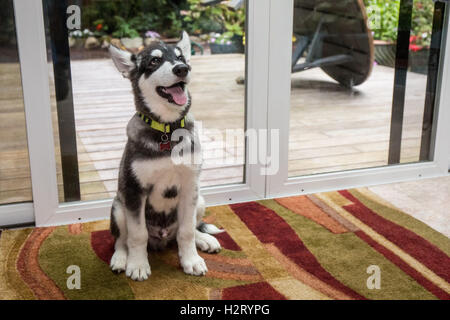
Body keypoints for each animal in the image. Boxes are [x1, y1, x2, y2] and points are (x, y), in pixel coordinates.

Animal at [107, 31, 223, 282]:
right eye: (154, 61)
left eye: (181, 57)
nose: (182, 69)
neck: (167, 130)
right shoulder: (134, 190)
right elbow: (137, 235)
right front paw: (138, 265)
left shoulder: (190, 187)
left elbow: (187, 231)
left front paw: (191, 260)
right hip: (119, 207)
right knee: (121, 239)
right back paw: (121, 258)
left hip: (200, 199)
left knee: (188, 229)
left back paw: (204, 240)